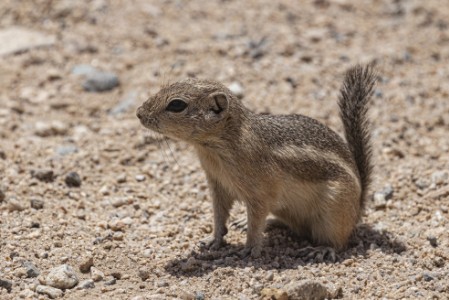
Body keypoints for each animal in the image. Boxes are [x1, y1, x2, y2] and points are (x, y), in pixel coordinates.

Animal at [136, 64, 374, 256]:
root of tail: (358, 205)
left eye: (176, 105)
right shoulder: (217, 185)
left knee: (338, 241)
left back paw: (323, 249)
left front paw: (249, 248)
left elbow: (256, 222)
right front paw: (213, 239)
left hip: (333, 212)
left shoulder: (261, 193)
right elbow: (219, 215)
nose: (139, 112)